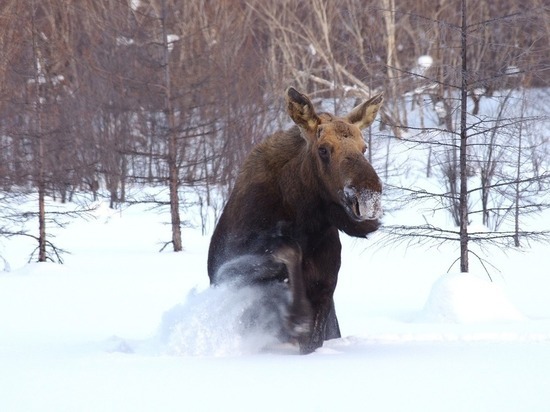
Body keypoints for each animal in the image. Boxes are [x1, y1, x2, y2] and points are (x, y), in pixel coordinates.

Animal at [209, 87, 386, 354]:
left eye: (364, 147)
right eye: (323, 149)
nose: (368, 198)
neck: (304, 221)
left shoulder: (325, 290)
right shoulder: (230, 271)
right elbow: (287, 250)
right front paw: (296, 315)